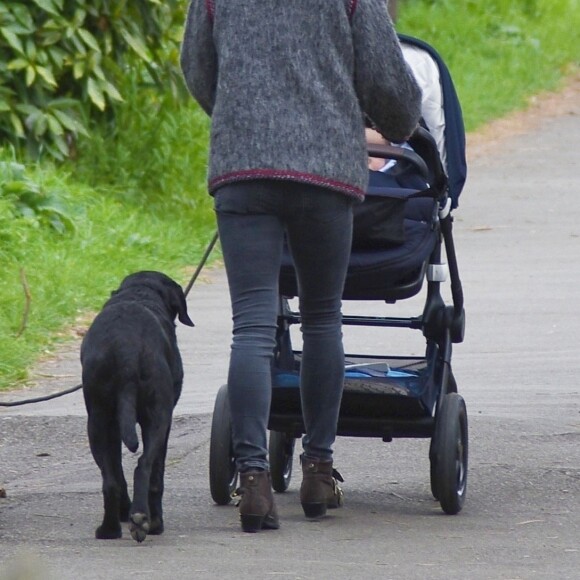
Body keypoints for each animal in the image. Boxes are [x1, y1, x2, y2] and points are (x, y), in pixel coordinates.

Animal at [80, 270, 194, 540]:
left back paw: (120, 525)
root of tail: (127, 350)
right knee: (144, 468)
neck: (138, 294)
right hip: (156, 417)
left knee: (115, 478)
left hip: (99, 421)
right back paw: (143, 522)